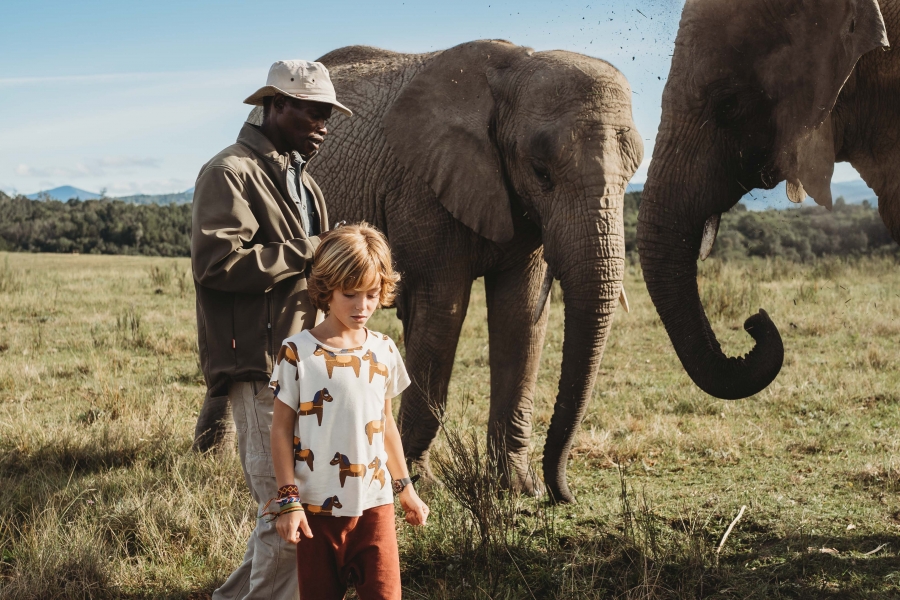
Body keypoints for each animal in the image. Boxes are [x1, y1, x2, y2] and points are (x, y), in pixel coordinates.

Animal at [243, 39, 640, 504]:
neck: (514, 68)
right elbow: (443, 316)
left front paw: (517, 488)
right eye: (541, 174)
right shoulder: (422, 186)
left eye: (633, 174)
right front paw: (418, 484)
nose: (564, 495)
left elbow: (520, 318)